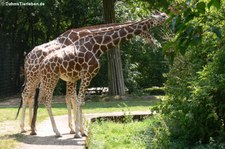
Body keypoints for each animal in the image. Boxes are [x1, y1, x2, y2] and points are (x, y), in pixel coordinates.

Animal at [30, 11, 169, 137]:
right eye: (159, 16)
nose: (166, 16)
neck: (99, 46)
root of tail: (42, 63)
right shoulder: (87, 74)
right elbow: (79, 101)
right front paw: (78, 133)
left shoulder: (79, 76)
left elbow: (78, 100)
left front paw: (82, 131)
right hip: (51, 78)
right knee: (46, 99)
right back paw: (56, 132)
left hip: (46, 79)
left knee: (38, 97)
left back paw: (35, 129)